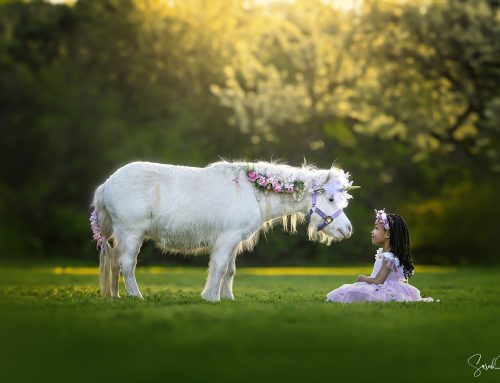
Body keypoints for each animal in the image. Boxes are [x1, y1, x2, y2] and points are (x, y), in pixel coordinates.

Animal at [90, 160, 356, 302]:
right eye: (331, 199)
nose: (348, 229)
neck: (253, 191)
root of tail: (106, 185)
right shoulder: (227, 239)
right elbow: (218, 267)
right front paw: (211, 297)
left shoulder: (234, 241)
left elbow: (229, 270)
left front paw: (228, 298)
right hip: (131, 234)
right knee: (126, 264)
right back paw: (136, 295)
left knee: (115, 264)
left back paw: (116, 296)